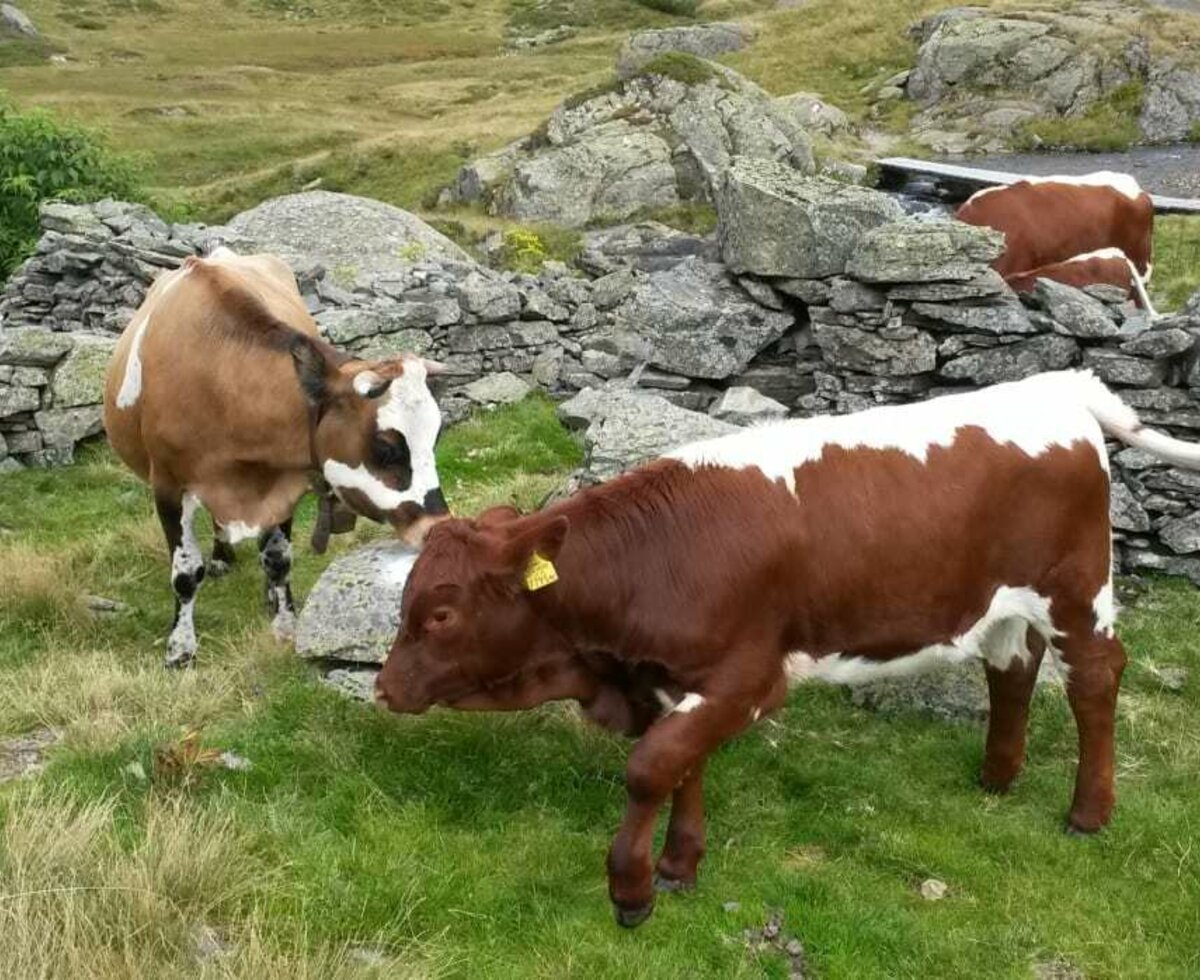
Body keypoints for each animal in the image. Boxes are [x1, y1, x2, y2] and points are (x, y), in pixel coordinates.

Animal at [103, 248, 448, 666]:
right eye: (385, 447)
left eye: (435, 435)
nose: (436, 527)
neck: (222, 384)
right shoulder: (168, 486)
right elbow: (185, 574)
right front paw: (180, 648)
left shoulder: (284, 482)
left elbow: (279, 559)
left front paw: (285, 625)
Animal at [379, 369, 1200, 926]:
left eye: (442, 613)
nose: (385, 688)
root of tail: (1056, 385)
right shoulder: (678, 677)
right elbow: (683, 766)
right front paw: (679, 864)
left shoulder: (748, 677)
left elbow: (650, 769)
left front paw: (632, 889)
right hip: (1001, 601)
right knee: (1012, 667)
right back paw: (997, 776)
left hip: (1076, 590)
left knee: (1094, 679)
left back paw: (1089, 812)